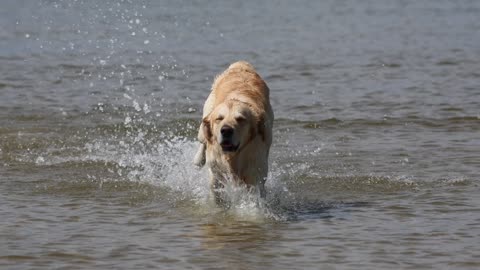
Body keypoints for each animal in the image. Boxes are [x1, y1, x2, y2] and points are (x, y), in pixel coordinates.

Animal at [192, 61, 274, 205]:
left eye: (241, 119)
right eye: (219, 118)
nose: (226, 130)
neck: (232, 157)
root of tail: (240, 65)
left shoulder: (255, 171)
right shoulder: (216, 171)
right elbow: (216, 192)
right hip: (203, 123)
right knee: (203, 141)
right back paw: (198, 160)